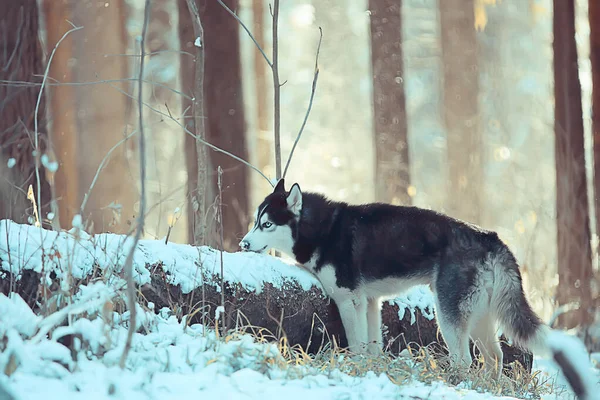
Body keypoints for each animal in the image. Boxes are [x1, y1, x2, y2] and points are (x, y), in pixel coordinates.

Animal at [240, 180, 596, 398]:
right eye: (255, 221)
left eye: (266, 224)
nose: (243, 244)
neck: (323, 229)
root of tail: (490, 239)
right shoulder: (369, 302)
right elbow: (372, 347)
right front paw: (373, 371)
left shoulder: (348, 300)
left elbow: (356, 345)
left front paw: (357, 369)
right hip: (480, 318)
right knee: (493, 358)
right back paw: (488, 388)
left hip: (448, 314)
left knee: (464, 359)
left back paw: (456, 384)